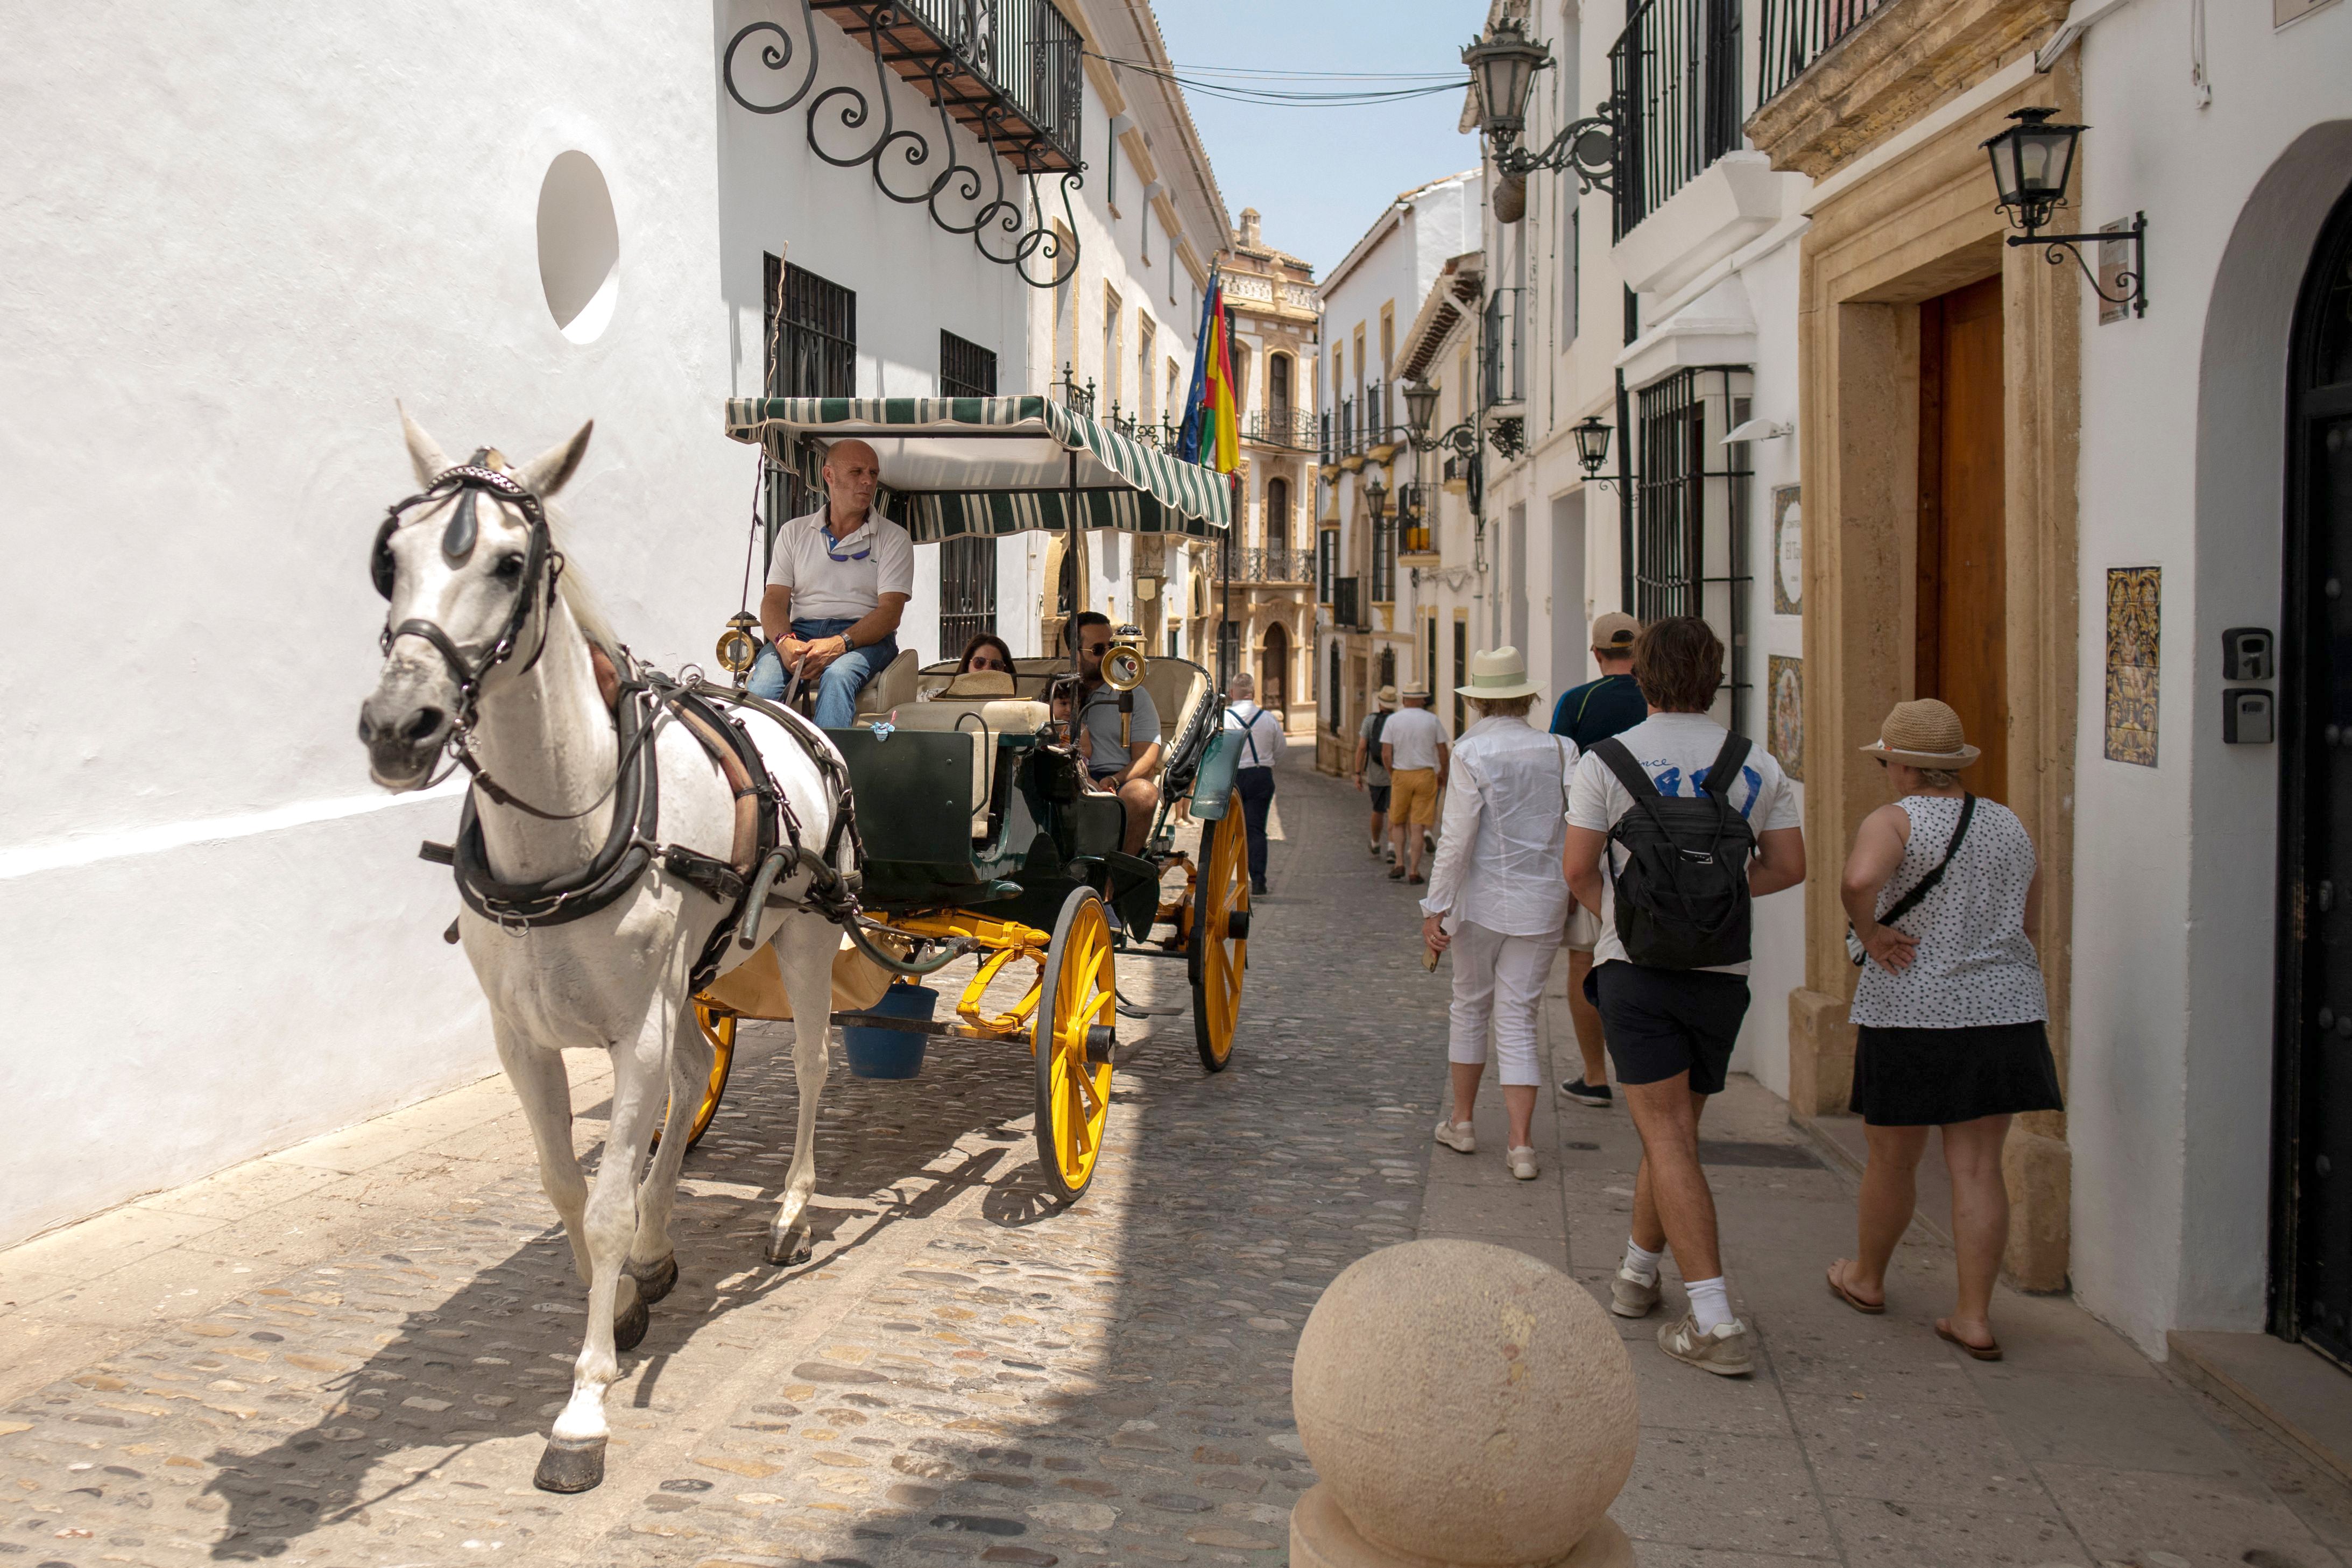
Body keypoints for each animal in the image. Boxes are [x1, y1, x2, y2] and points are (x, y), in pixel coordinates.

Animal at [357, 409, 846, 1495]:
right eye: (390, 559)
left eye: (510, 562)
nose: (399, 726)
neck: (566, 827)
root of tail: (793, 710)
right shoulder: (523, 1038)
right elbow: (568, 1190)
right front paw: (620, 1303)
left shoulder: (634, 1030)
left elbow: (610, 1204)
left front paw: (583, 1408)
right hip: (695, 974)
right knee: (698, 1069)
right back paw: (666, 1247)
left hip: (806, 932)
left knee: (806, 1064)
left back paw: (791, 1210)